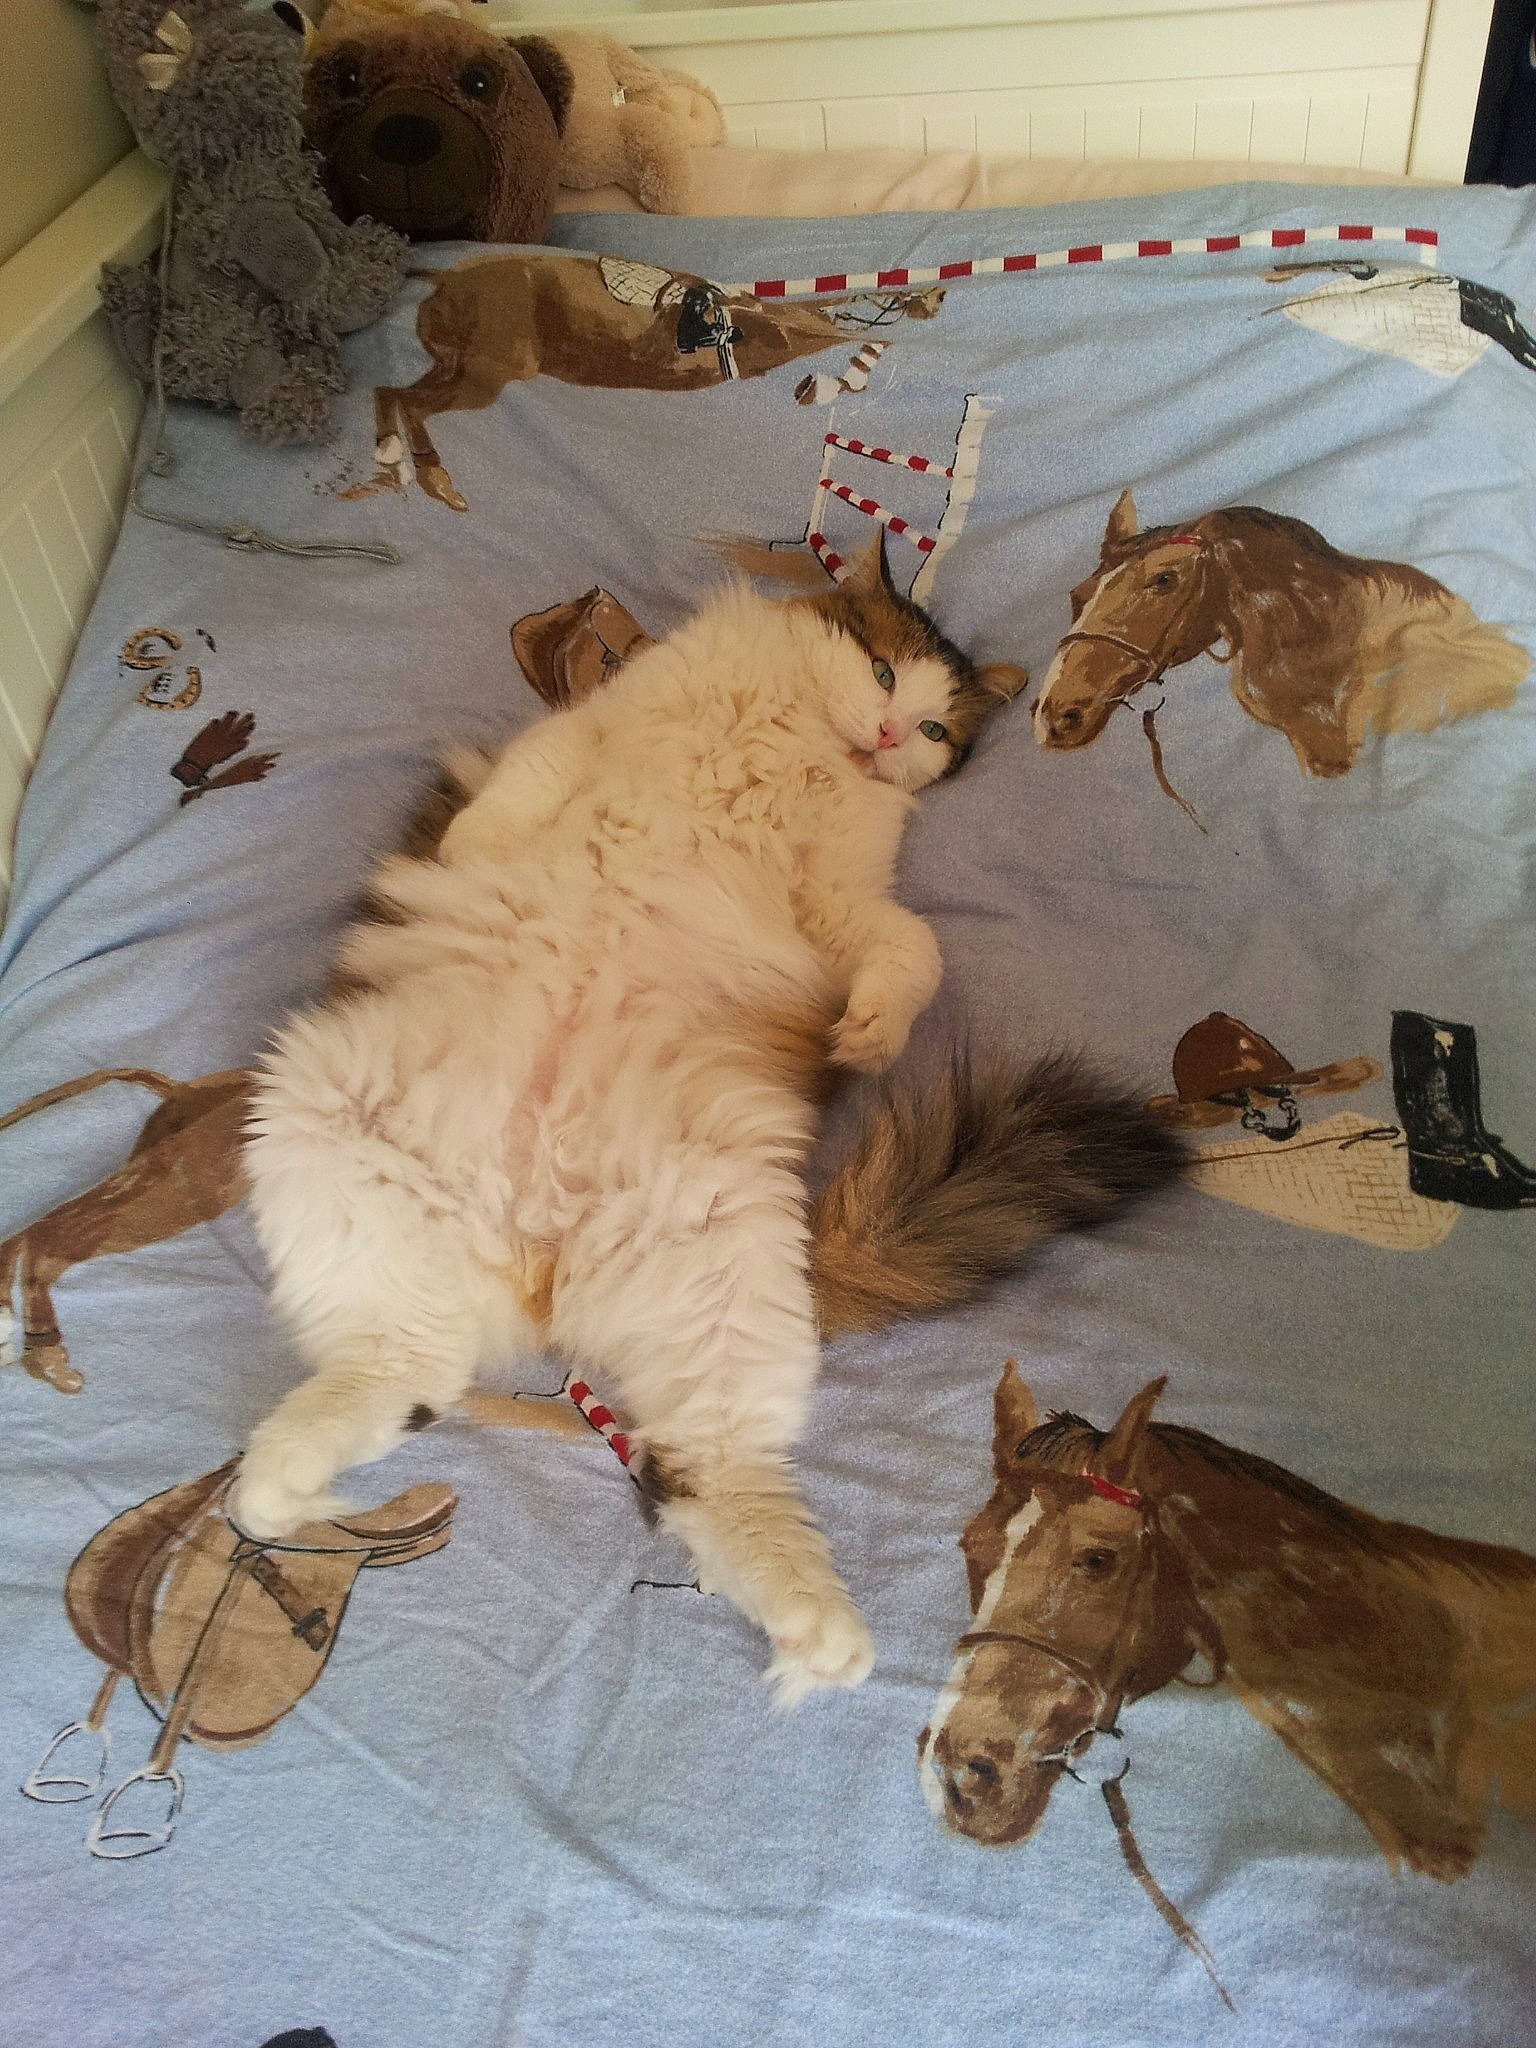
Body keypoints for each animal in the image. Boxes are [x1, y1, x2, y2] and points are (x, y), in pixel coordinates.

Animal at [353, 251, 945, 510]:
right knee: (411, 404)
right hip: (488, 374)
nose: (938, 297)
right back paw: (431, 479)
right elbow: (845, 326)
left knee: (392, 394)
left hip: (460, 365)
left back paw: (398, 464)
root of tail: (445, 281)